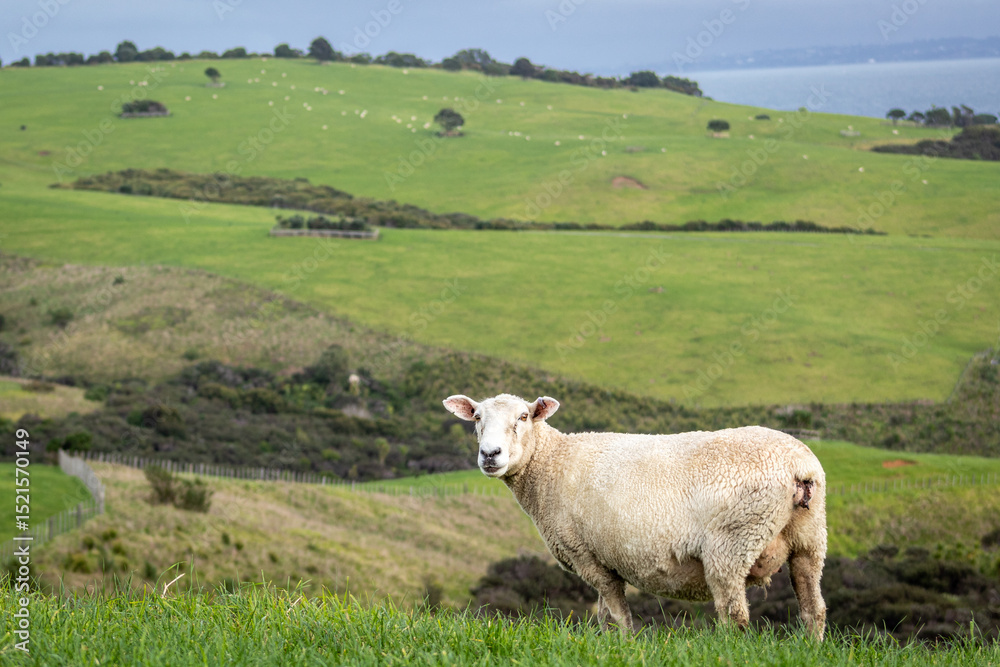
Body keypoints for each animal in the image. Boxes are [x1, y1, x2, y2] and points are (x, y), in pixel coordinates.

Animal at [443, 393, 827, 639]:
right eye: (477, 418)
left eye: (523, 417)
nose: (490, 454)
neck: (551, 463)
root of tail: (799, 466)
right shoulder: (600, 557)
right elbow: (603, 616)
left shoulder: (587, 555)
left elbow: (618, 616)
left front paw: (624, 647)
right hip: (809, 540)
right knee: (814, 609)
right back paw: (812, 648)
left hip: (732, 541)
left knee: (734, 614)